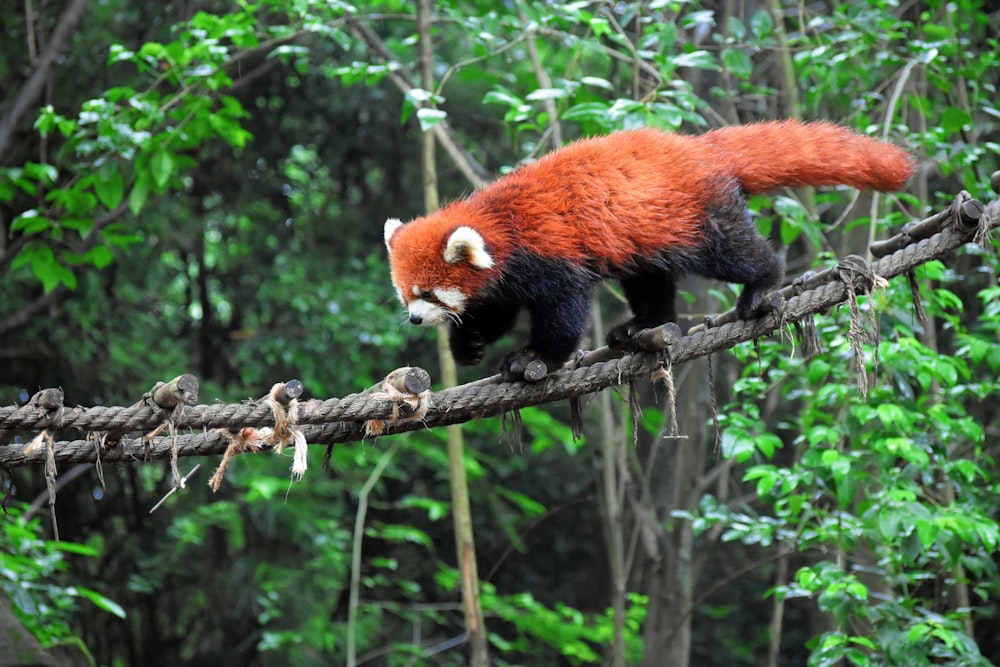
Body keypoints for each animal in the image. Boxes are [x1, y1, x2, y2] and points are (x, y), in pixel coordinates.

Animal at [380, 120, 916, 380]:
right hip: (648, 235)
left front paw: (535, 357)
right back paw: (644, 325)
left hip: (697, 216)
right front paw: (468, 343)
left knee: (735, 253)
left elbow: (563, 313)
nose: (415, 319)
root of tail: (699, 148)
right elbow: (495, 310)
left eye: (429, 293)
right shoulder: (507, 276)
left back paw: (762, 287)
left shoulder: (552, 252)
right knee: (650, 282)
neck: (499, 221)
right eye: (407, 296)